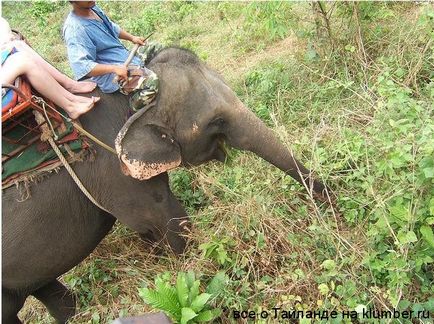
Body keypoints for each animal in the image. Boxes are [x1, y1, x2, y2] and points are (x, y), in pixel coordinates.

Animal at [1, 46, 330, 322]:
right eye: (216, 122)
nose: (326, 202)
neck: (133, 99)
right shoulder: (115, 173)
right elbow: (160, 216)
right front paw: (185, 267)